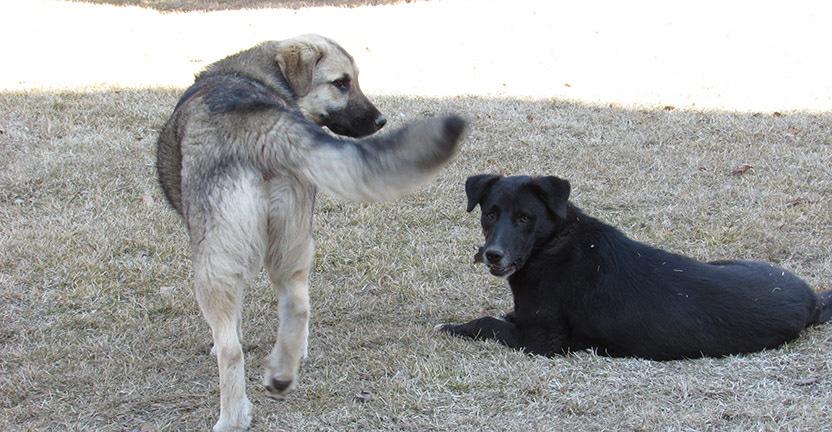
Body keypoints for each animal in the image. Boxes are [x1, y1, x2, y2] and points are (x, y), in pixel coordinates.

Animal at [156, 34, 466, 431]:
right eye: (342, 83)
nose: (381, 120)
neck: (258, 75)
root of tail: (260, 125)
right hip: (293, 240)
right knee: (299, 305)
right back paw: (283, 372)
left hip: (214, 262)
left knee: (231, 350)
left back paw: (233, 416)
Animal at [438, 174, 831, 360]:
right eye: (490, 214)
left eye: (524, 218)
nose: (493, 254)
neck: (552, 244)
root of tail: (813, 299)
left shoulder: (541, 343)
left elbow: (487, 323)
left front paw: (455, 327)